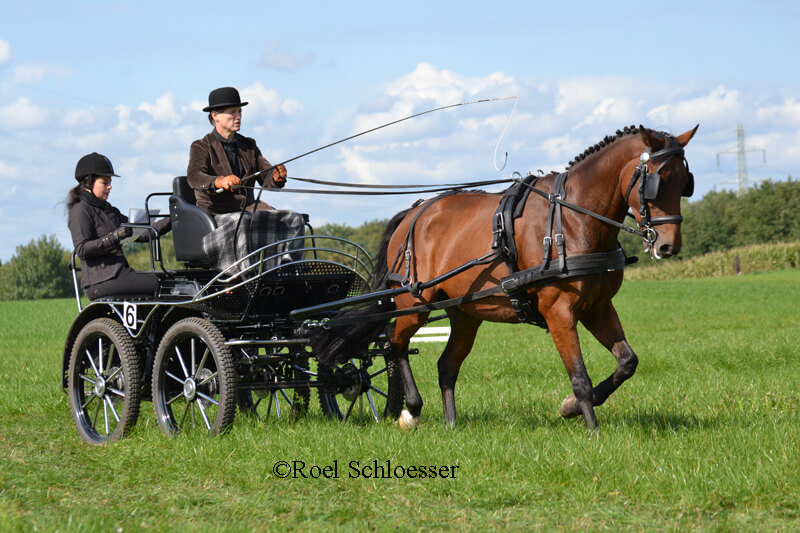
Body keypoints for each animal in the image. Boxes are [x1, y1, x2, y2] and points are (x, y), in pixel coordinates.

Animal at [313, 124, 699, 431]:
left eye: (685, 182)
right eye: (657, 181)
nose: (668, 245)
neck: (572, 219)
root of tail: (415, 212)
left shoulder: (598, 307)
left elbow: (627, 362)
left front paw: (571, 409)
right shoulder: (558, 311)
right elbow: (580, 376)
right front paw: (591, 428)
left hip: (464, 314)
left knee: (445, 365)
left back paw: (451, 424)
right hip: (413, 301)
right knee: (394, 344)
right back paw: (412, 411)